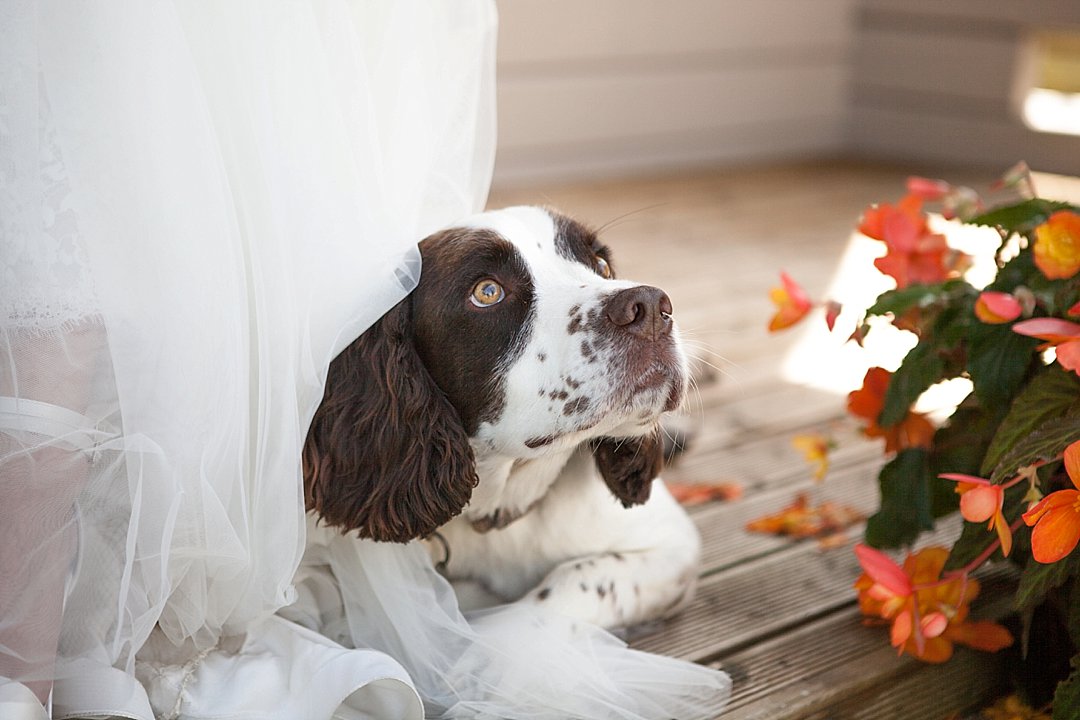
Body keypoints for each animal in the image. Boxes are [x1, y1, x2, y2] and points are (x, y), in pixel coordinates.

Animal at [304, 205, 699, 626]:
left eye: (602, 264)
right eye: (487, 291)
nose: (651, 307)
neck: (495, 503)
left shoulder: (674, 545)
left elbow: (551, 597)